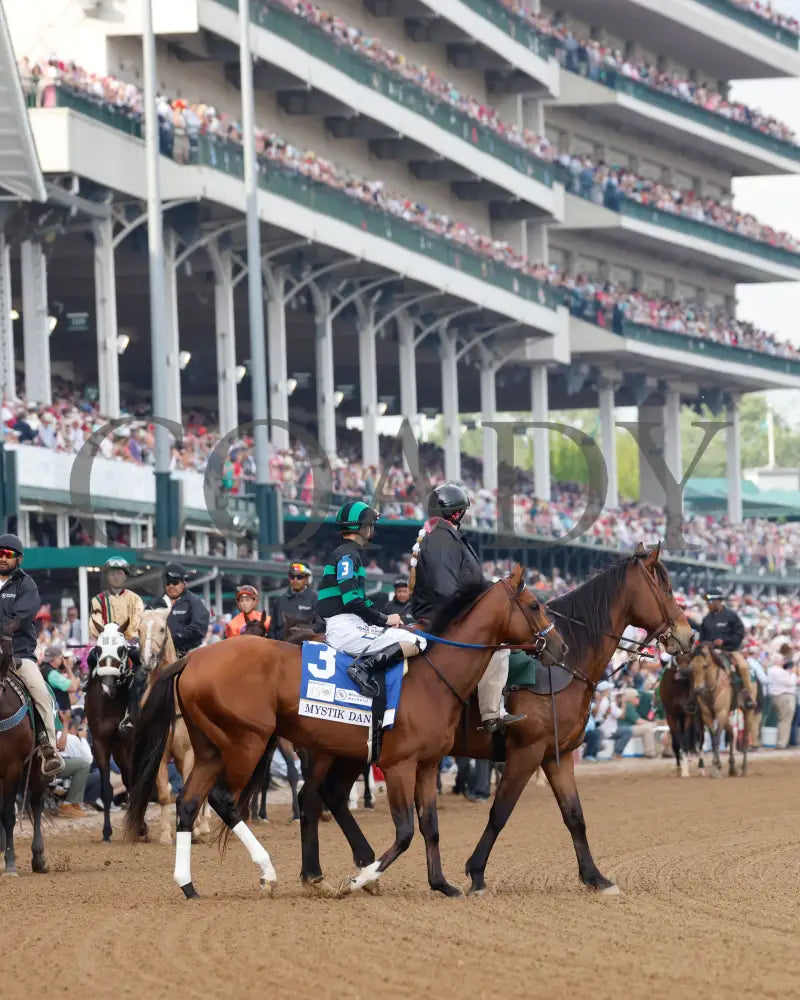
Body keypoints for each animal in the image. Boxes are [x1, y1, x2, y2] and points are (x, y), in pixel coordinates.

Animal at [123, 568, 564, 904]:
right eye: (535, 605)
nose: (559, 647)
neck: (432, 676)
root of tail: (193, 658)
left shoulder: (426, 766)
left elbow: (430, 826)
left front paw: (442, 884)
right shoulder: (398, 765)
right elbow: (405, 832)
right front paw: (359, 879)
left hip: (211, 748)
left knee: (189, 802)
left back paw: (189, 885)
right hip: (245, 742)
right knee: (225, 800)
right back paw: (268, 872)